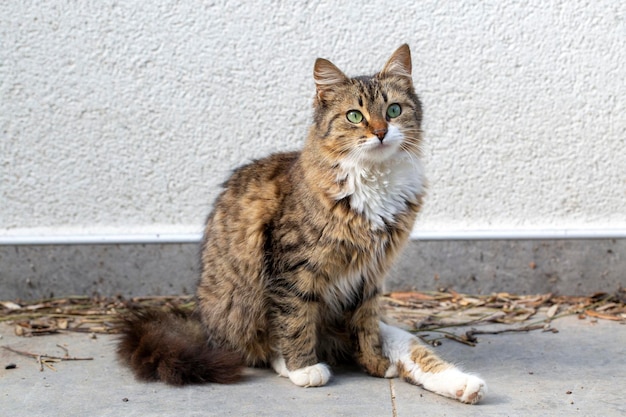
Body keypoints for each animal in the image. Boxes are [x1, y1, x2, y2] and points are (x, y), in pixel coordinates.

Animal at [118, 44, 488, 404]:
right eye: (355, 116)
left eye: (393, 110)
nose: (381, 132)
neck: (374, 181)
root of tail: (201, 319)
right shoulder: (293, 270)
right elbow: (295, 320)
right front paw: (304, 368)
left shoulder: (371, 275)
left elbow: (366, 327)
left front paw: (374, 362)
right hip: (243, 304)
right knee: (262, 346)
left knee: (414, 353)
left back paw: (464, 386)